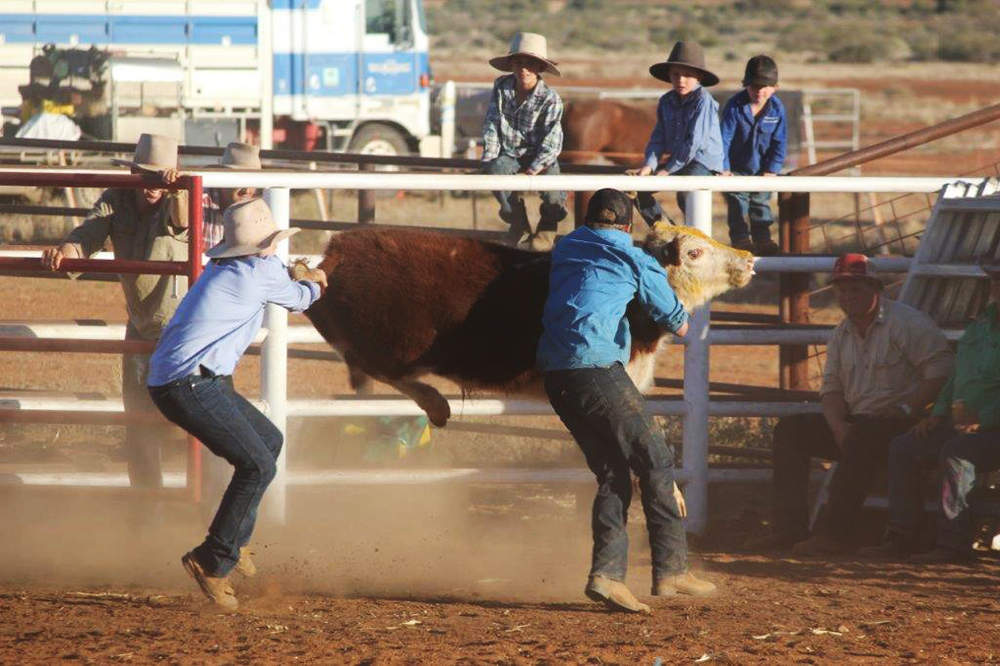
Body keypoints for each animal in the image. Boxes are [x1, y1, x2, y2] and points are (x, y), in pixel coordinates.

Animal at [308, 224, 752, 426]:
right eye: (694, 253)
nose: (748, 260)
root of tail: (336, 252)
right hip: (392, 343)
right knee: (377, 367)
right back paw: (435, 402)